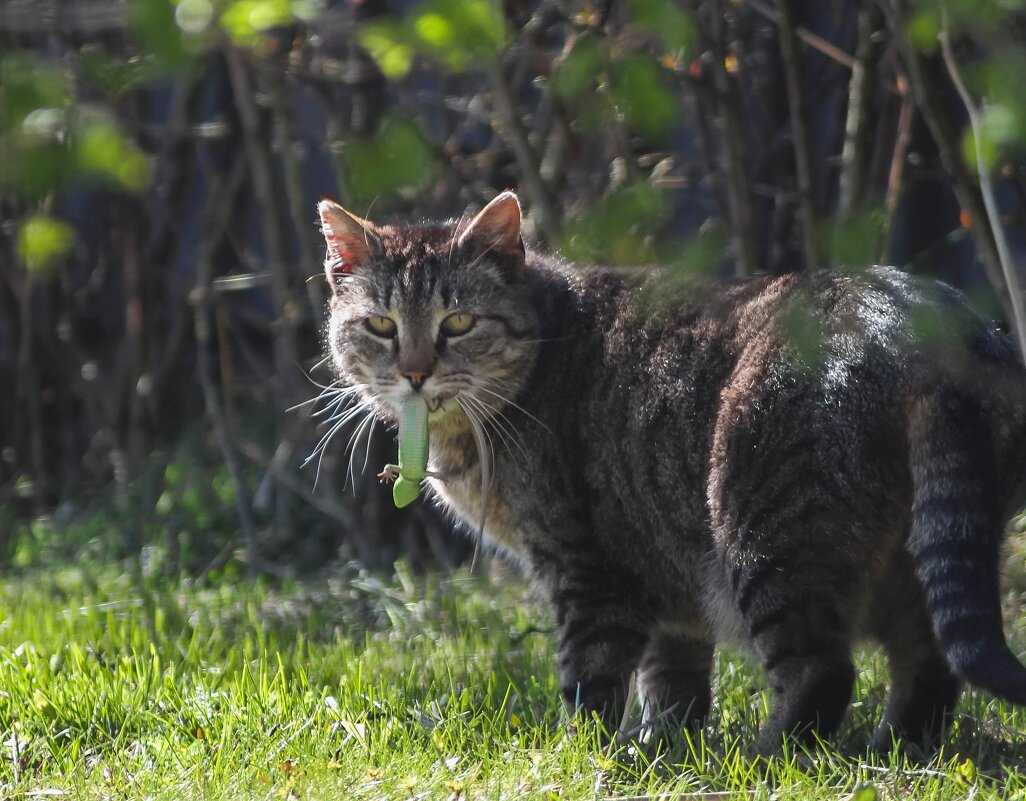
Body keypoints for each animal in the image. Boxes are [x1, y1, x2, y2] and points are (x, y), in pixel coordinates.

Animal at [316, 191, 1026, 750]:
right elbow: (673, 682)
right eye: (381, 325)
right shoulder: (663, 569)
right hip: (921, 553)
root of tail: (918, 319)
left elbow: (592, 680)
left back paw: (770, 759)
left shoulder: (587, 569)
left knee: (822, 672)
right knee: (930, 664)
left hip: (766, 533)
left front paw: (587, 757)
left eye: (458, 321)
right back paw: (896, 750)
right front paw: (658, 747)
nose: (415, 372)